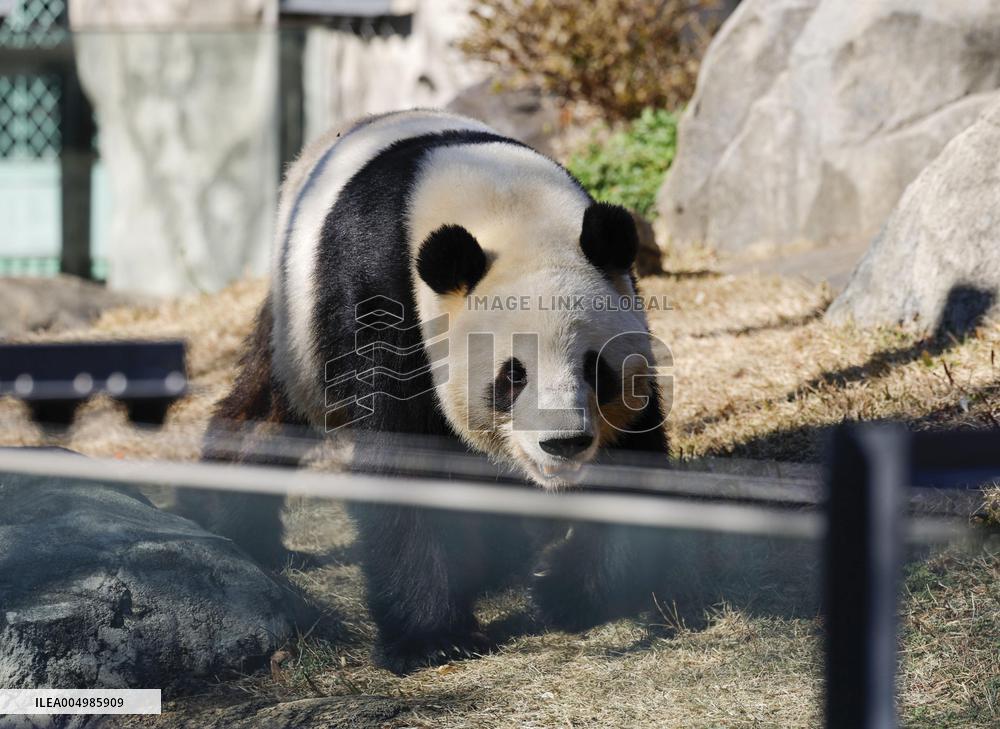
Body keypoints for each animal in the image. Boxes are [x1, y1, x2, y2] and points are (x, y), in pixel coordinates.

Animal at [178, 109, 669, 674]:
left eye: (595, 368)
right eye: (513, 375)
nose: (562, 444)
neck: (507, 206)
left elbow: (634, 458)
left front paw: (569, 594)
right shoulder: (386, 298)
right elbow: (403, 456)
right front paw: (434, 638)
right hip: (297, 327)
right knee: (267, 412)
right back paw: (228, 523)